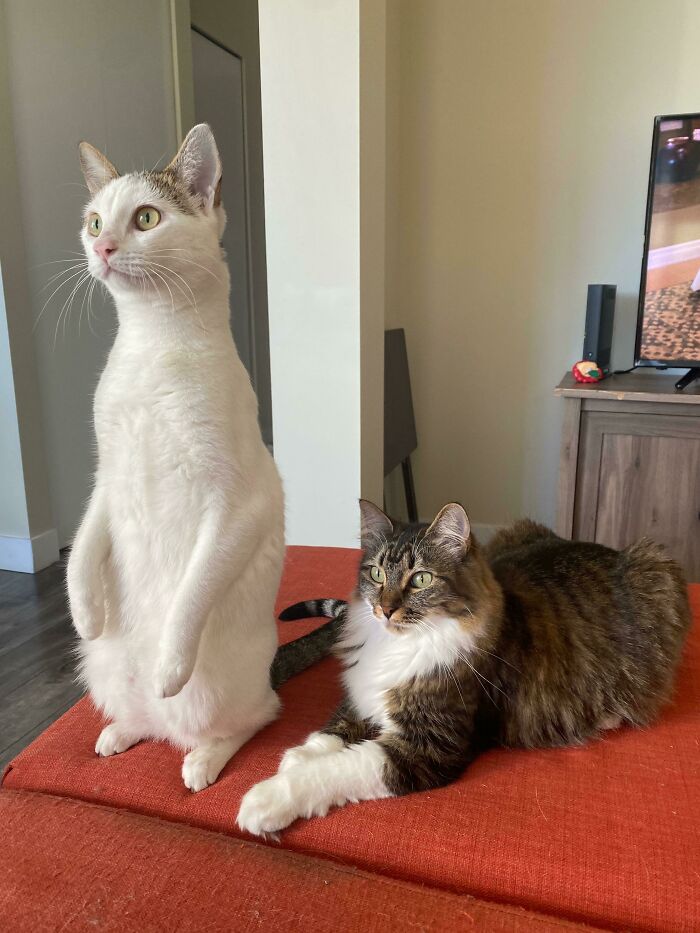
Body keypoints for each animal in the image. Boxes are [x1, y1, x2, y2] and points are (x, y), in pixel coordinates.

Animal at [65, 124, 284, 792]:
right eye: (93, 220)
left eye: (146, 217)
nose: (103, 246)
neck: (150, 345)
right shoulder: (105, 477)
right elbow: (80, 545)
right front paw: (83, 607)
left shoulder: (237, 504)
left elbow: (191, 595)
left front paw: (169, 661)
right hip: (101, 666)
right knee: (144, 713)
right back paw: (122, 729)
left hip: (219, 688)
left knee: (256, 715)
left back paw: (202, 757)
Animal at [237, 498, 688, 832]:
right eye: (378, 573)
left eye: (421, 579)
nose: (384, 609)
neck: (400, 644)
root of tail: (612, 549)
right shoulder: (365, 694)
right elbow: (328, 735)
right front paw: (295, 758)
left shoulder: (426, 747)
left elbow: (335, 769)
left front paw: (268, 798)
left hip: (660, 570)